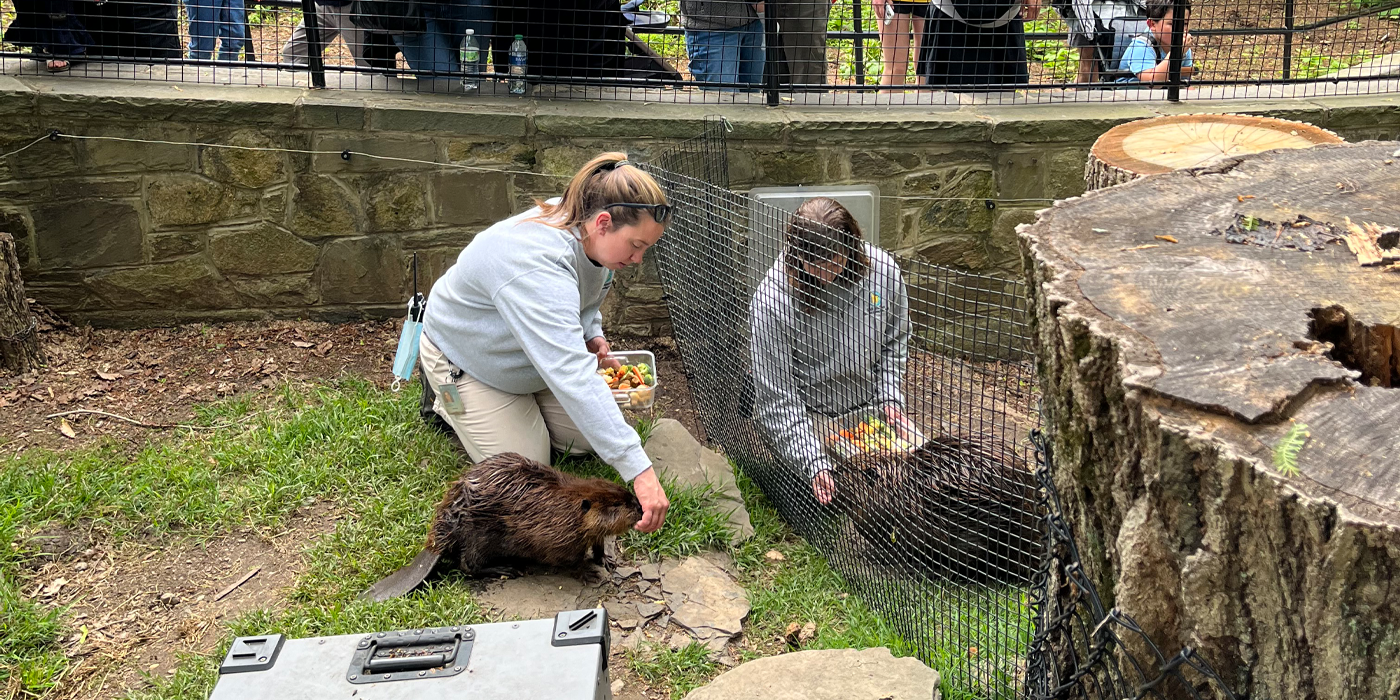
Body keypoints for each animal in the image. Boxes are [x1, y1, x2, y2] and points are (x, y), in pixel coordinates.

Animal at [425, 453, 644, 574]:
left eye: (627, 494)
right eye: (616, 504)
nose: (640, 508)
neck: (567, 507)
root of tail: (435, 546)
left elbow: (598, 544)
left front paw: (606, 560)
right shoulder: (554, 536)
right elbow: (567, 560)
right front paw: (586, 573)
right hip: (478, 535)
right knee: (468, 565)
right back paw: (505, 569)